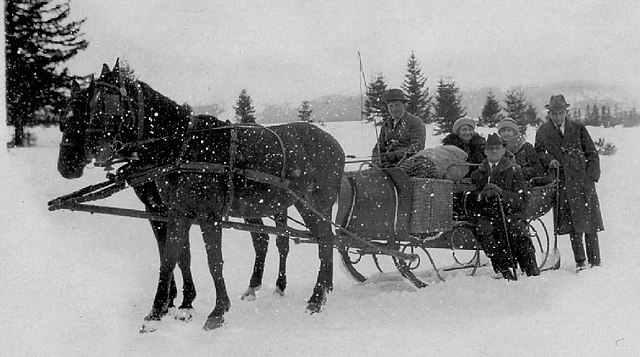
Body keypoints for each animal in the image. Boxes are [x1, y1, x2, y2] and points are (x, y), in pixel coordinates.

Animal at [57, 61, 342, 330]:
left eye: (107, 103)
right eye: (70, 117)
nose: (70, 165)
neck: (181, 147)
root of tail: (333, 142)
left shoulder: (208, 214)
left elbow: (213, 260)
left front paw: (216, 311)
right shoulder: (175, 211)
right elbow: (170, 258)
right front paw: (156, 313)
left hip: (314, 203)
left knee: (324, 240)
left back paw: (317, 297)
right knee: (314, 240)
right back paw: (321, 288)